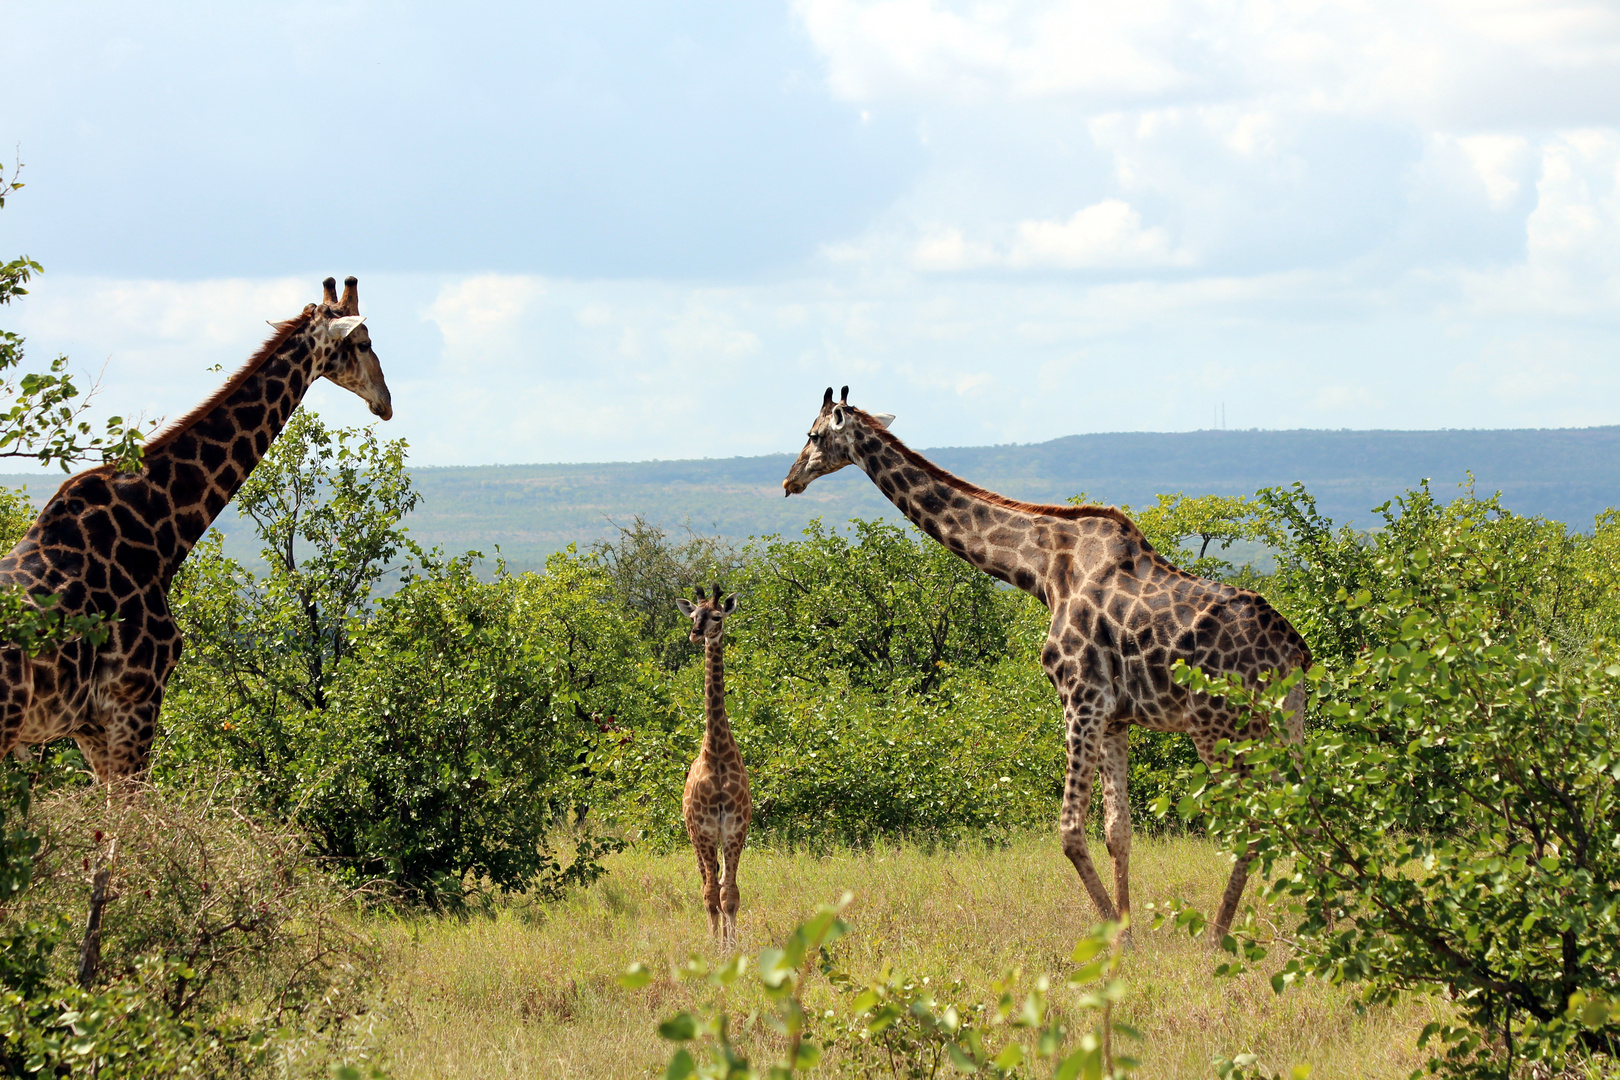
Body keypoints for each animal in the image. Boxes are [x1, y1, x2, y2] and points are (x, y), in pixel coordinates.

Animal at [777, 386, 1308, 939]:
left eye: (813, 434)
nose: (790, 480)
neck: (1043, 569)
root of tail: (1293, 651)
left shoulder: (1082, 698)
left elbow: (1070, 831)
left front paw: (1115, 940)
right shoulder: (1115, 717)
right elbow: (1118, 831)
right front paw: (1129, 931)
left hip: (1219, 726)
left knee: (1256, 822)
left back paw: (1217, 937)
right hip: (1285, 724)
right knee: (1306, 809)